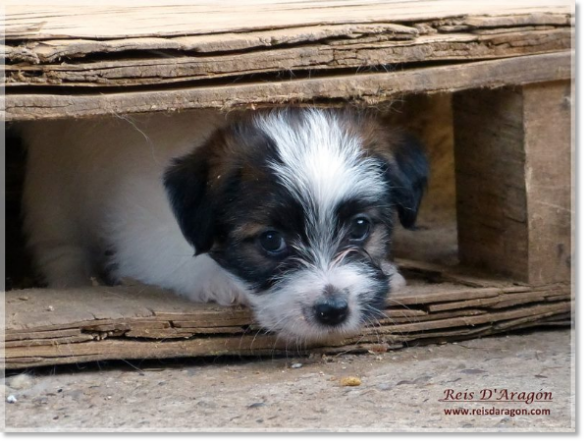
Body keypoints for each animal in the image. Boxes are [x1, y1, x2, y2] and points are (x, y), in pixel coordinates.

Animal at [20, 109, 426, 342]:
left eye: (360, 227)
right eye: (271, 241)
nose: (332, 310)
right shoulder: (143, 243)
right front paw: (220, 282)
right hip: (54, 201)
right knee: (58, 248)